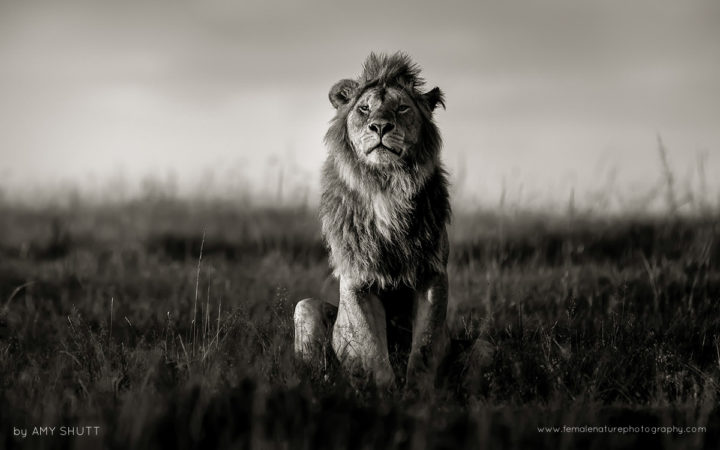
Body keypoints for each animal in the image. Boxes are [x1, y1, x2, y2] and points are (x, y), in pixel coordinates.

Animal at [294, 52, 450, 392]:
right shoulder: (358, 278)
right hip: (305, 307)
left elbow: (426, 345)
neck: (387, 185)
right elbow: (370, 350)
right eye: (364, 109)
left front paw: (418, 394)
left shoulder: (433, 273)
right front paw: (384, 394)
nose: (379, 126)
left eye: (402, 108)